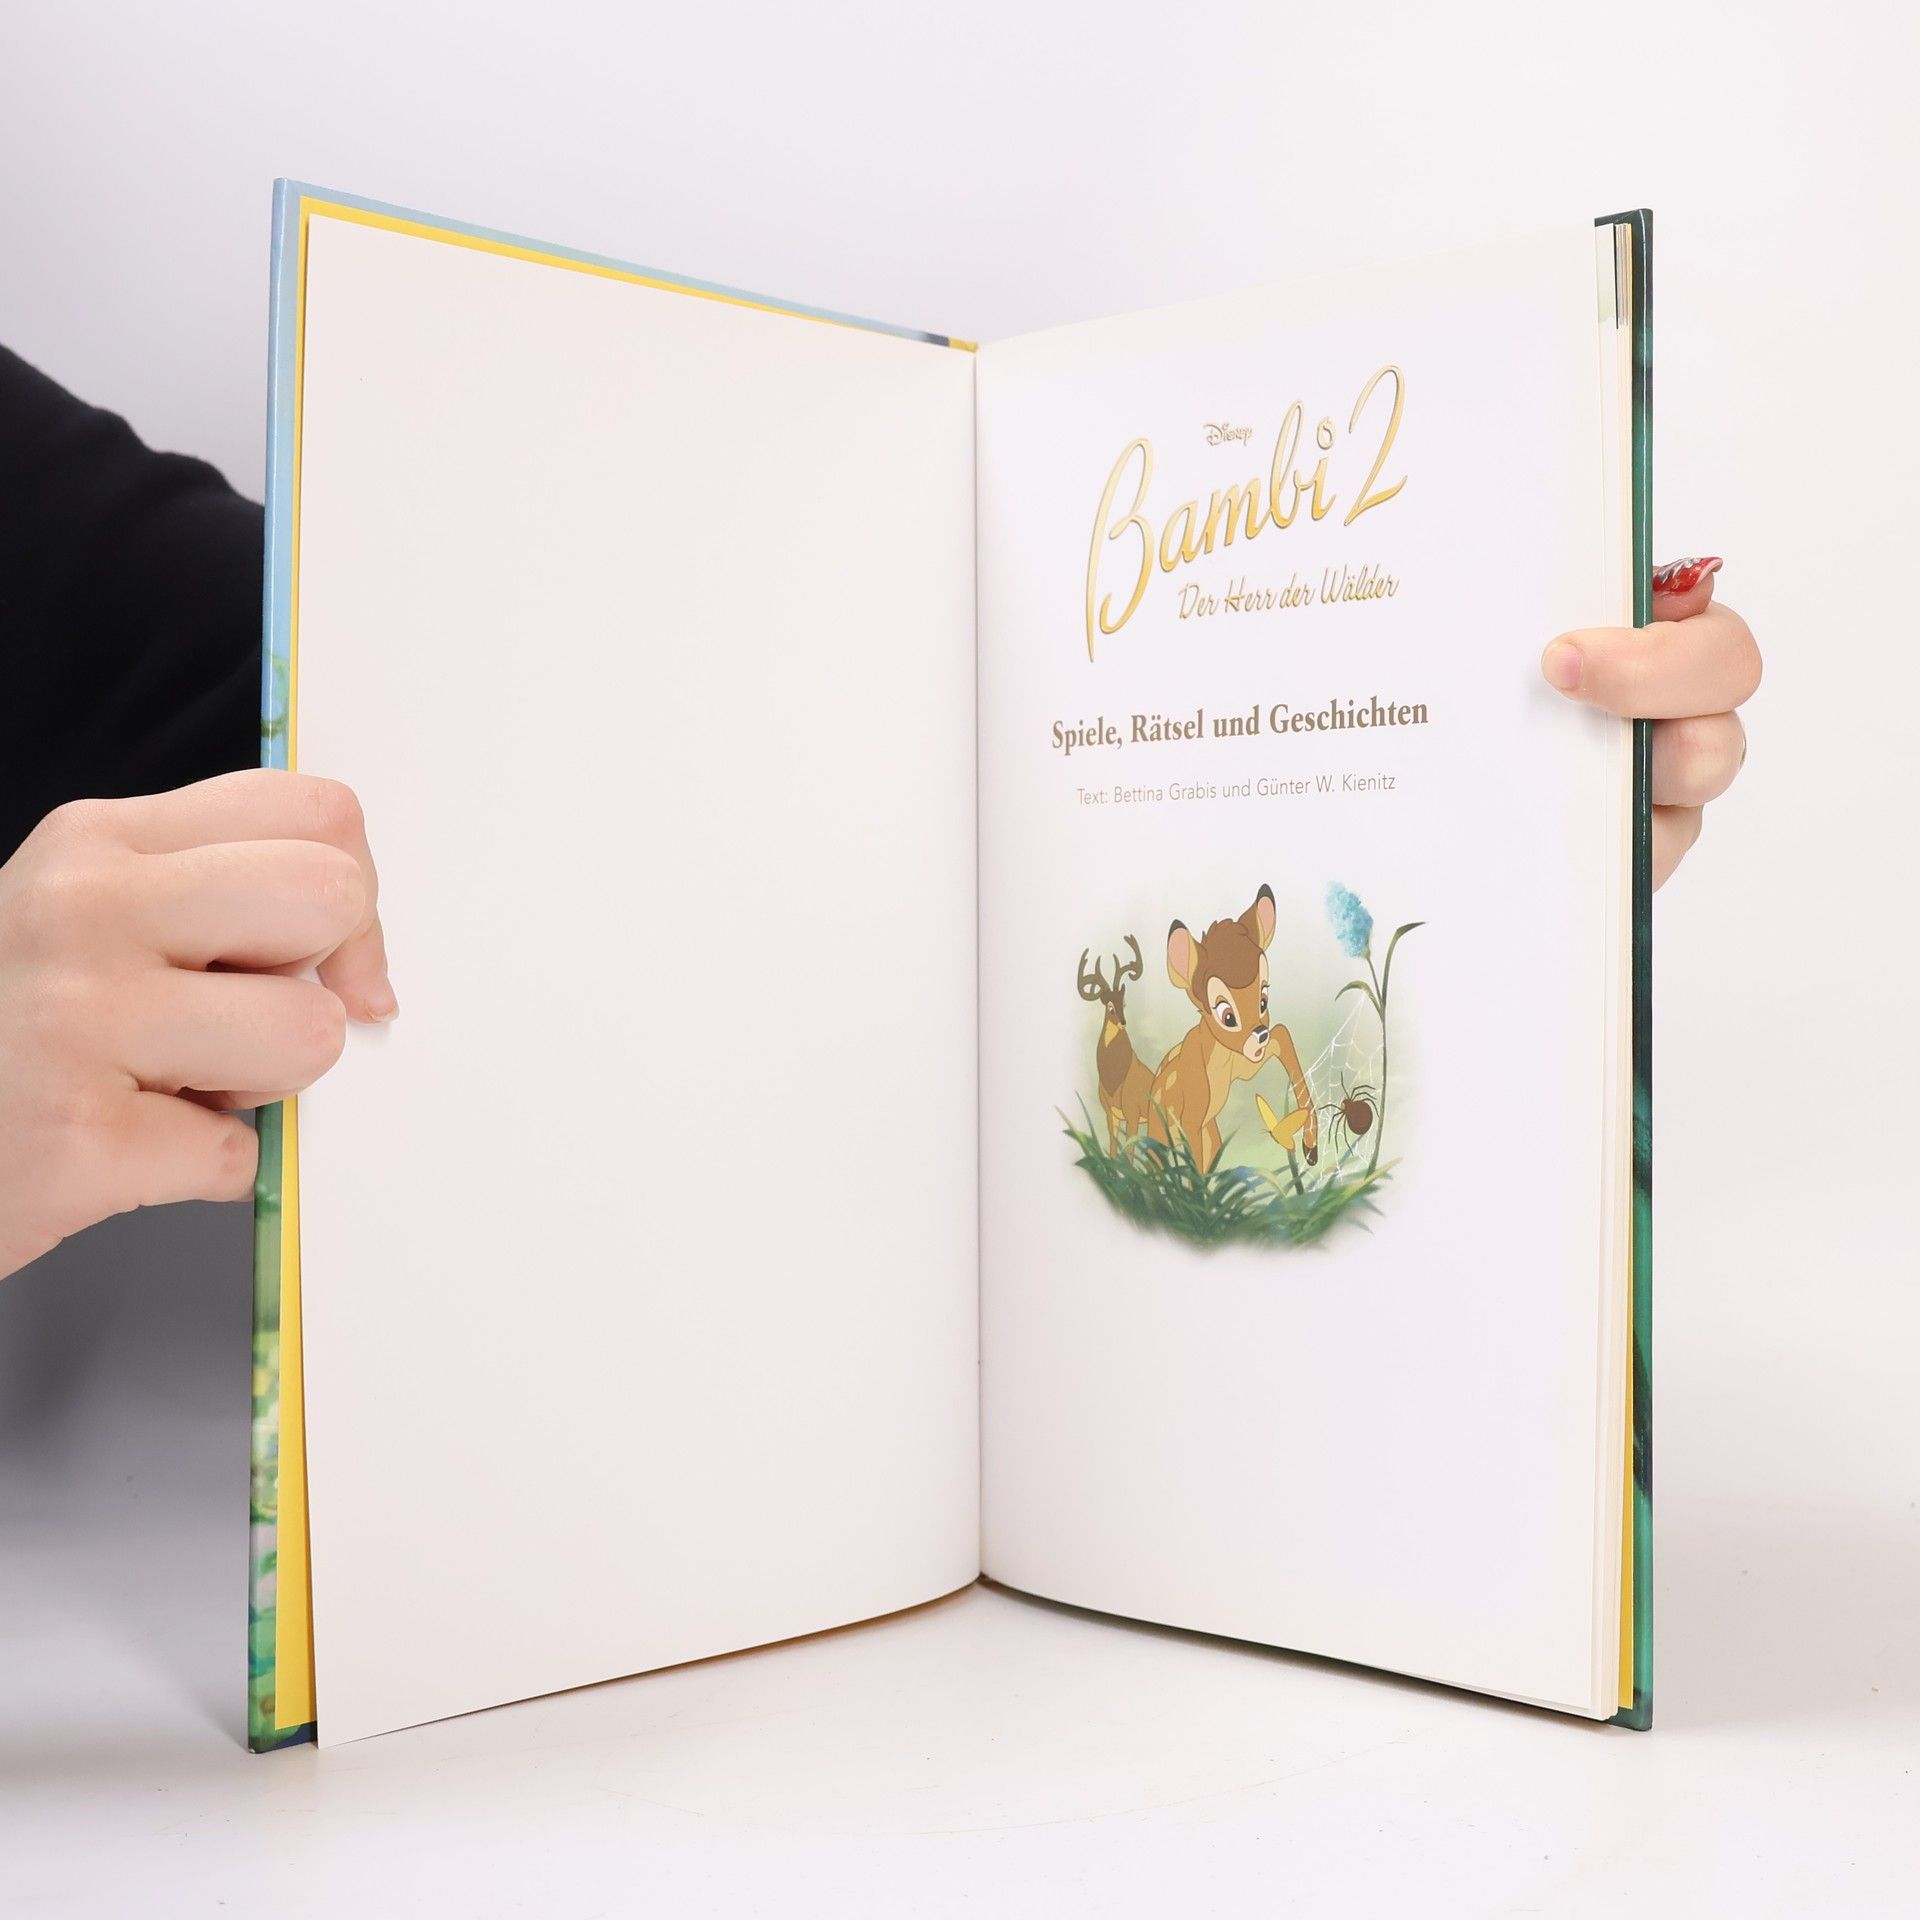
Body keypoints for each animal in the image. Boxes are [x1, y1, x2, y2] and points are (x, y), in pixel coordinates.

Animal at [1077, 936, 1154, 1154]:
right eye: (1110, 1007)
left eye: (1124, 1003)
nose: (1123, 1022)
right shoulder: (1110, 1113)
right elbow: (1113, 1148)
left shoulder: (1132, 1111)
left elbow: (1129, 1152)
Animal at [1147, 883, 1318, 1176]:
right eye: (1227, 1016)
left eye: (1263, 999)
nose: (1260, 1034)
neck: (1218, 1060)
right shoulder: (1191, 1118)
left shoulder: (1246, 1062)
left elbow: (1282, 1033)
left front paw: (1311, 1145)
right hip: (1161, 1134)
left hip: (1210, 1133)